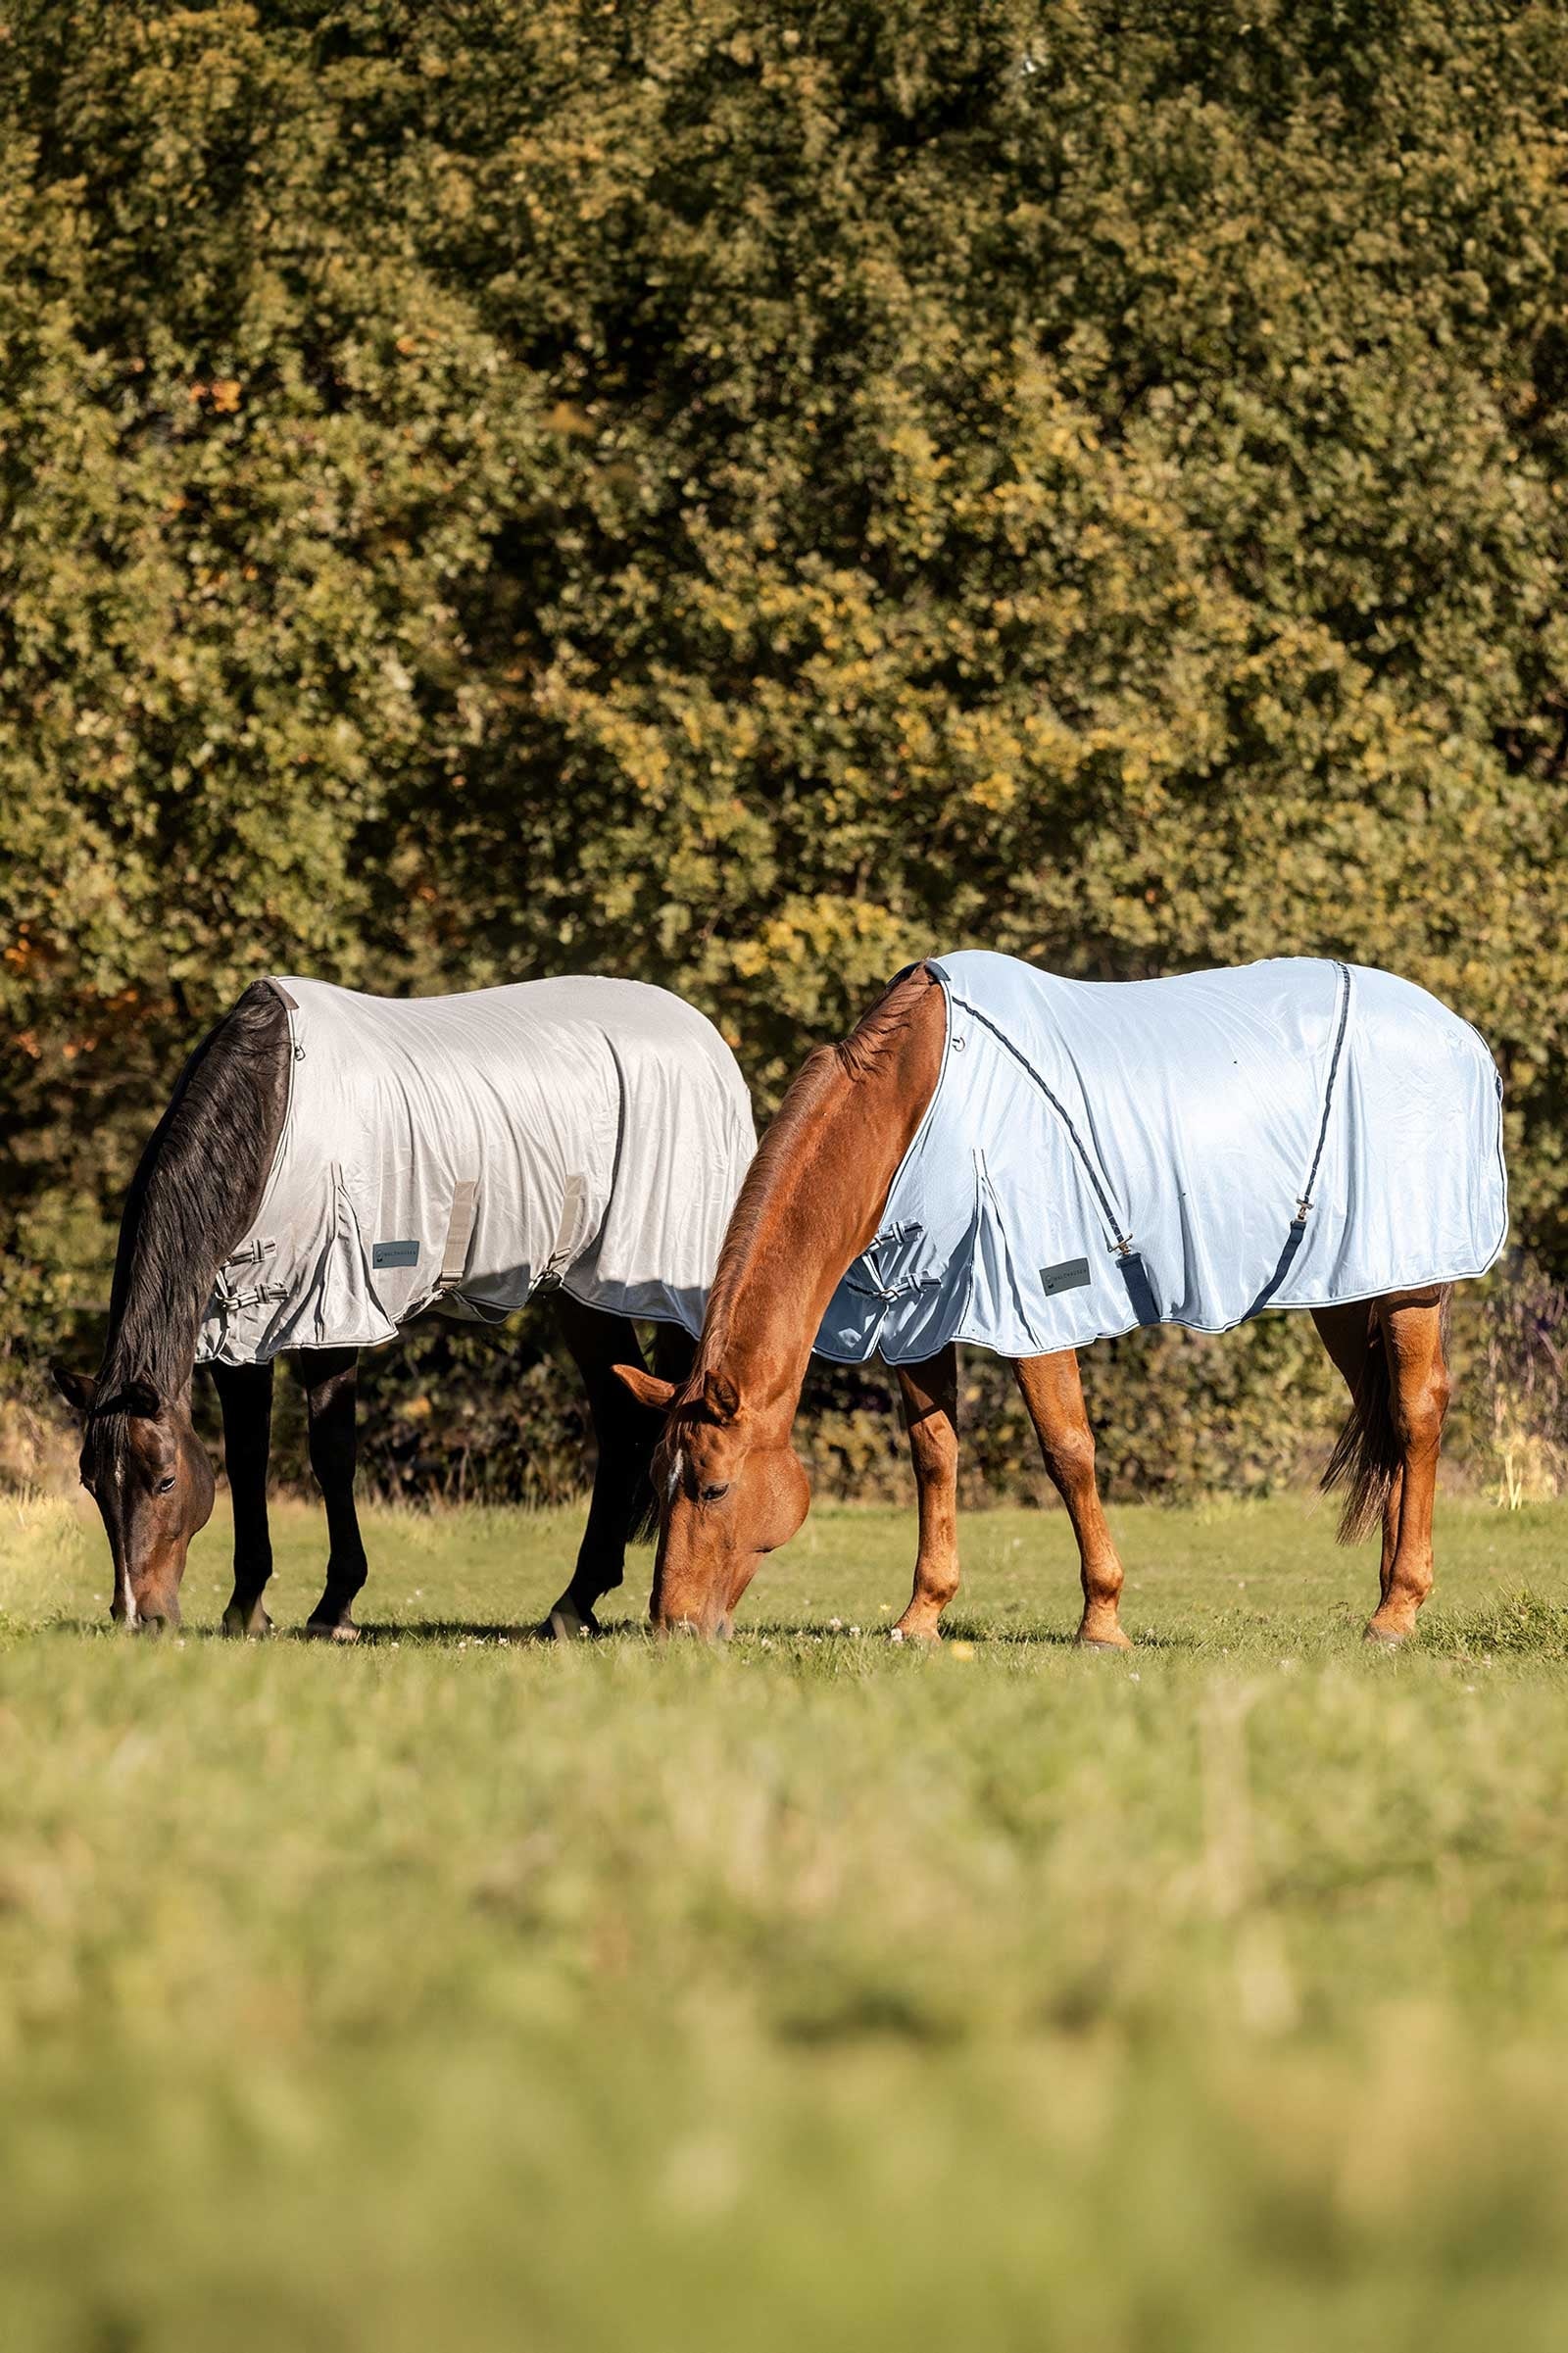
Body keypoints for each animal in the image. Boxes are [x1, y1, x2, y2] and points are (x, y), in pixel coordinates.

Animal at [53, 974, 755, 1635]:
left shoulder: (330, 1315)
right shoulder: (239, 1329)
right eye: (92, 1481)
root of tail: (705, 1038)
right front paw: (246, 1609)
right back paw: (573, 1606)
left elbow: (332, 1456)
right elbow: (247, 1459)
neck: (276, 1112)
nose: (138, 1616)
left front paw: (334, 1609)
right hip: (583, 1292)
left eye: (165, 1479)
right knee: (621, 1419)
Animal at [616, 953, 1507, 1643]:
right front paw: (921, 1617)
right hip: (1348, 1288)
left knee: (1418, 1413)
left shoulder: (1036, 1305)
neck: (922, 1100)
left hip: (1411, 1283)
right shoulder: (915, 1313)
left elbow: (1068, 1450)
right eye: (655, 1481)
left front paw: (1101, 1621)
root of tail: (1459, 1034)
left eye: (713, 1487)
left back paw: (1396, 1613)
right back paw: (1389, 1595)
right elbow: (934, 1453)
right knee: (1386, 1415)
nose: (672, 1627)